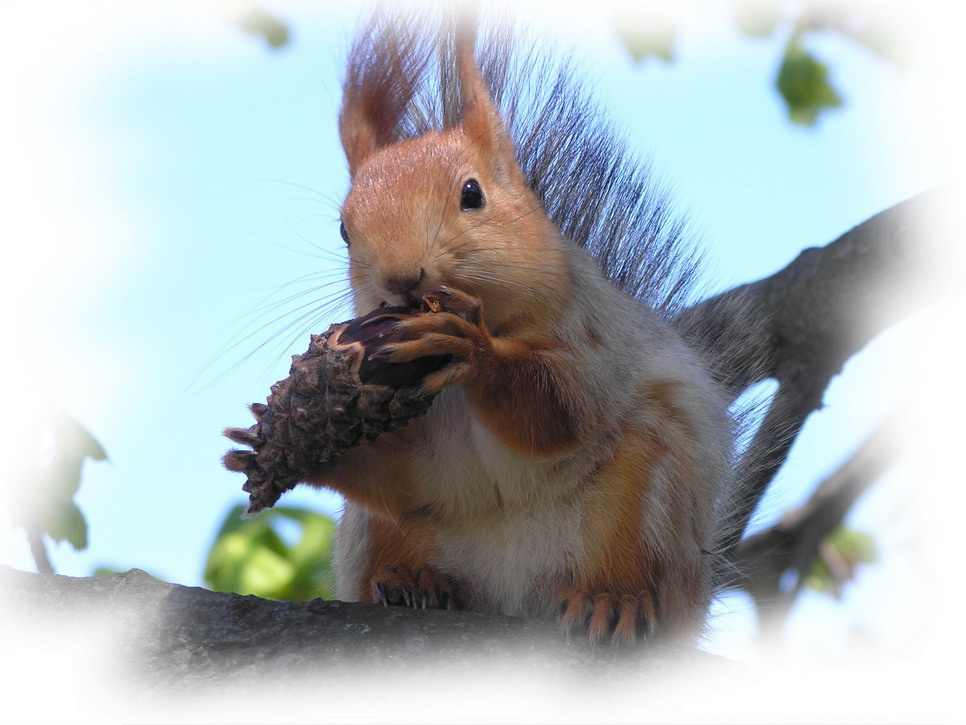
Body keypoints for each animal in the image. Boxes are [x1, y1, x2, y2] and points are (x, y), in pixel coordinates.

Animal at [302, 8, 735, 646]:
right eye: (342, 230)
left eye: (472, 194)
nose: (402, 279)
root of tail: (513, 599)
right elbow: (402, 475)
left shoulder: (588, 335)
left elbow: (560, 408)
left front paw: (477, 351)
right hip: (375, 531)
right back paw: (413, 581)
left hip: (650, 485)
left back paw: (613, 597)